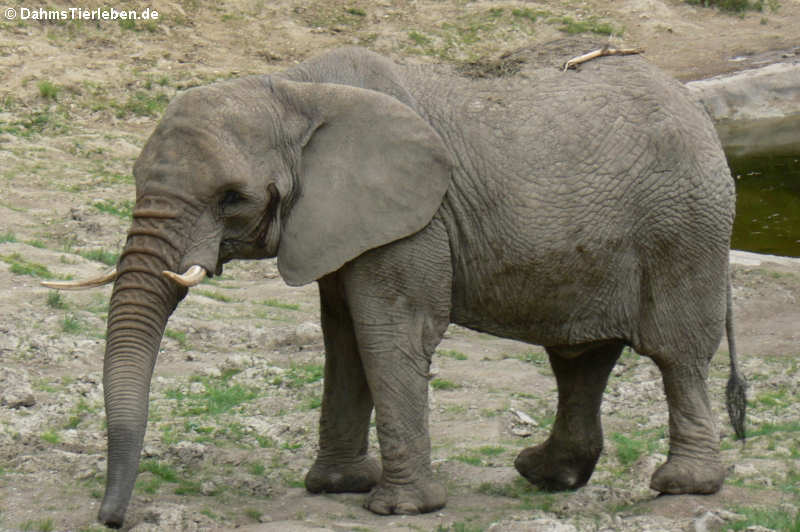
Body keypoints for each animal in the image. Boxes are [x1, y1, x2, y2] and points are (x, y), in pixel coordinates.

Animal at [45, 39, 744, 524]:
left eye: (231, 199)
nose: (112, 519)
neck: (296, 88)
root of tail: (697, 107)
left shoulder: (414, 218)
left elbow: (390, 332)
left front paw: (398, 508)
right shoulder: (342, 219)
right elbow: (344, 336)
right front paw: (336, 487)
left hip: (687, 225)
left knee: (677, 353)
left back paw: (681, 486)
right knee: (580, 358)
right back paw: (545, 475)